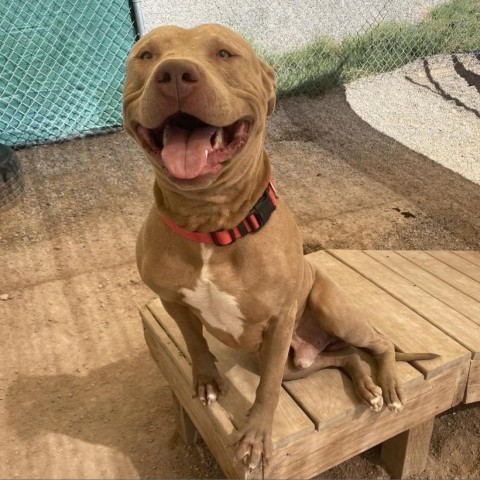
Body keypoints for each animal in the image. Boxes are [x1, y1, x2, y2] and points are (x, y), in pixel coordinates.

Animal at [124, 24, 428, 470]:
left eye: (224, 53)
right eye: (146, 55)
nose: (175, 72)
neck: (212, 226)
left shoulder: (280, 321)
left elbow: (265, 389)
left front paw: (254, 439)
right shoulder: (172, 300)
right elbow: (195, 341)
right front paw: (207, 380)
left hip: (329, 314)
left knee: (381, 342)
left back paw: (386, 387)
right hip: (292, 363)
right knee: (346, 357)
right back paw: (366, 386)